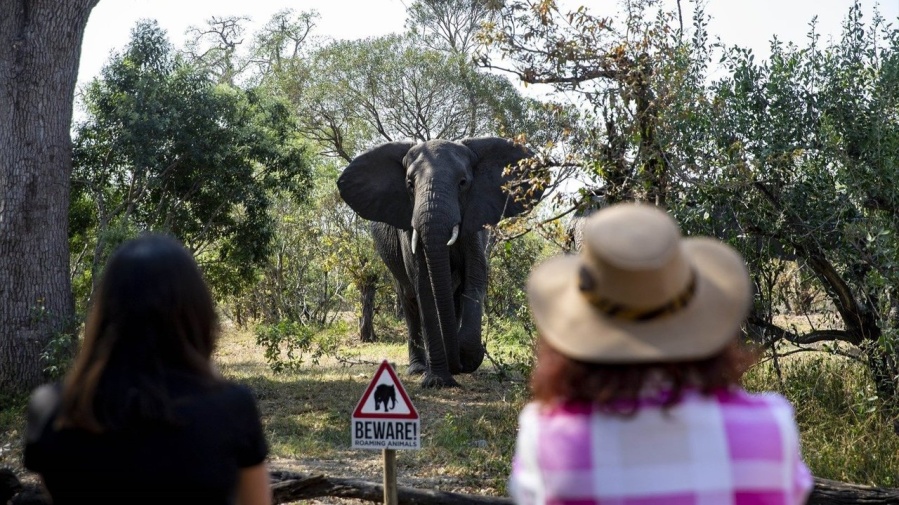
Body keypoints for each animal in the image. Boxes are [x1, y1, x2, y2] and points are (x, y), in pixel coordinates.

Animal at [337, 137, 543, 388]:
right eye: (409, 184)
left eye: (463, 183)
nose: (459, 365)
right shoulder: (408, 228)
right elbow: (424, 286)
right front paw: (437, 381)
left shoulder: (475, 221)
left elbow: (475, 277)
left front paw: (466, 355)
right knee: (409, 299)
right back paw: (419, 368)